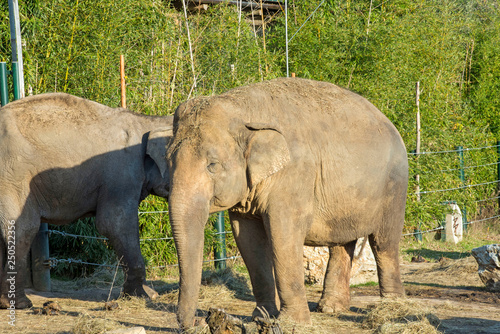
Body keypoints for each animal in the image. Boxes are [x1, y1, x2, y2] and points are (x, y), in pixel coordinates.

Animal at [0, 92, 173, 310]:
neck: (147, 120)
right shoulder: (122, 174)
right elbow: (114, 223)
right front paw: (145, 296)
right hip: (12, 177)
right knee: (23, 228)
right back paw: (21, 304)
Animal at [166, 77, 408, 328]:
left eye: (212, 165)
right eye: (167, 160)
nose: (199, 320)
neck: (243, 110)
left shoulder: (295, 174)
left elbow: (284, 233)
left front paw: (293, 322)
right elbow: (248, 239)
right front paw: (261, 317)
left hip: (395, 186)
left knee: (384, 243)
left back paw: (393, 308)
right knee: (342, 243)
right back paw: (331, 308)